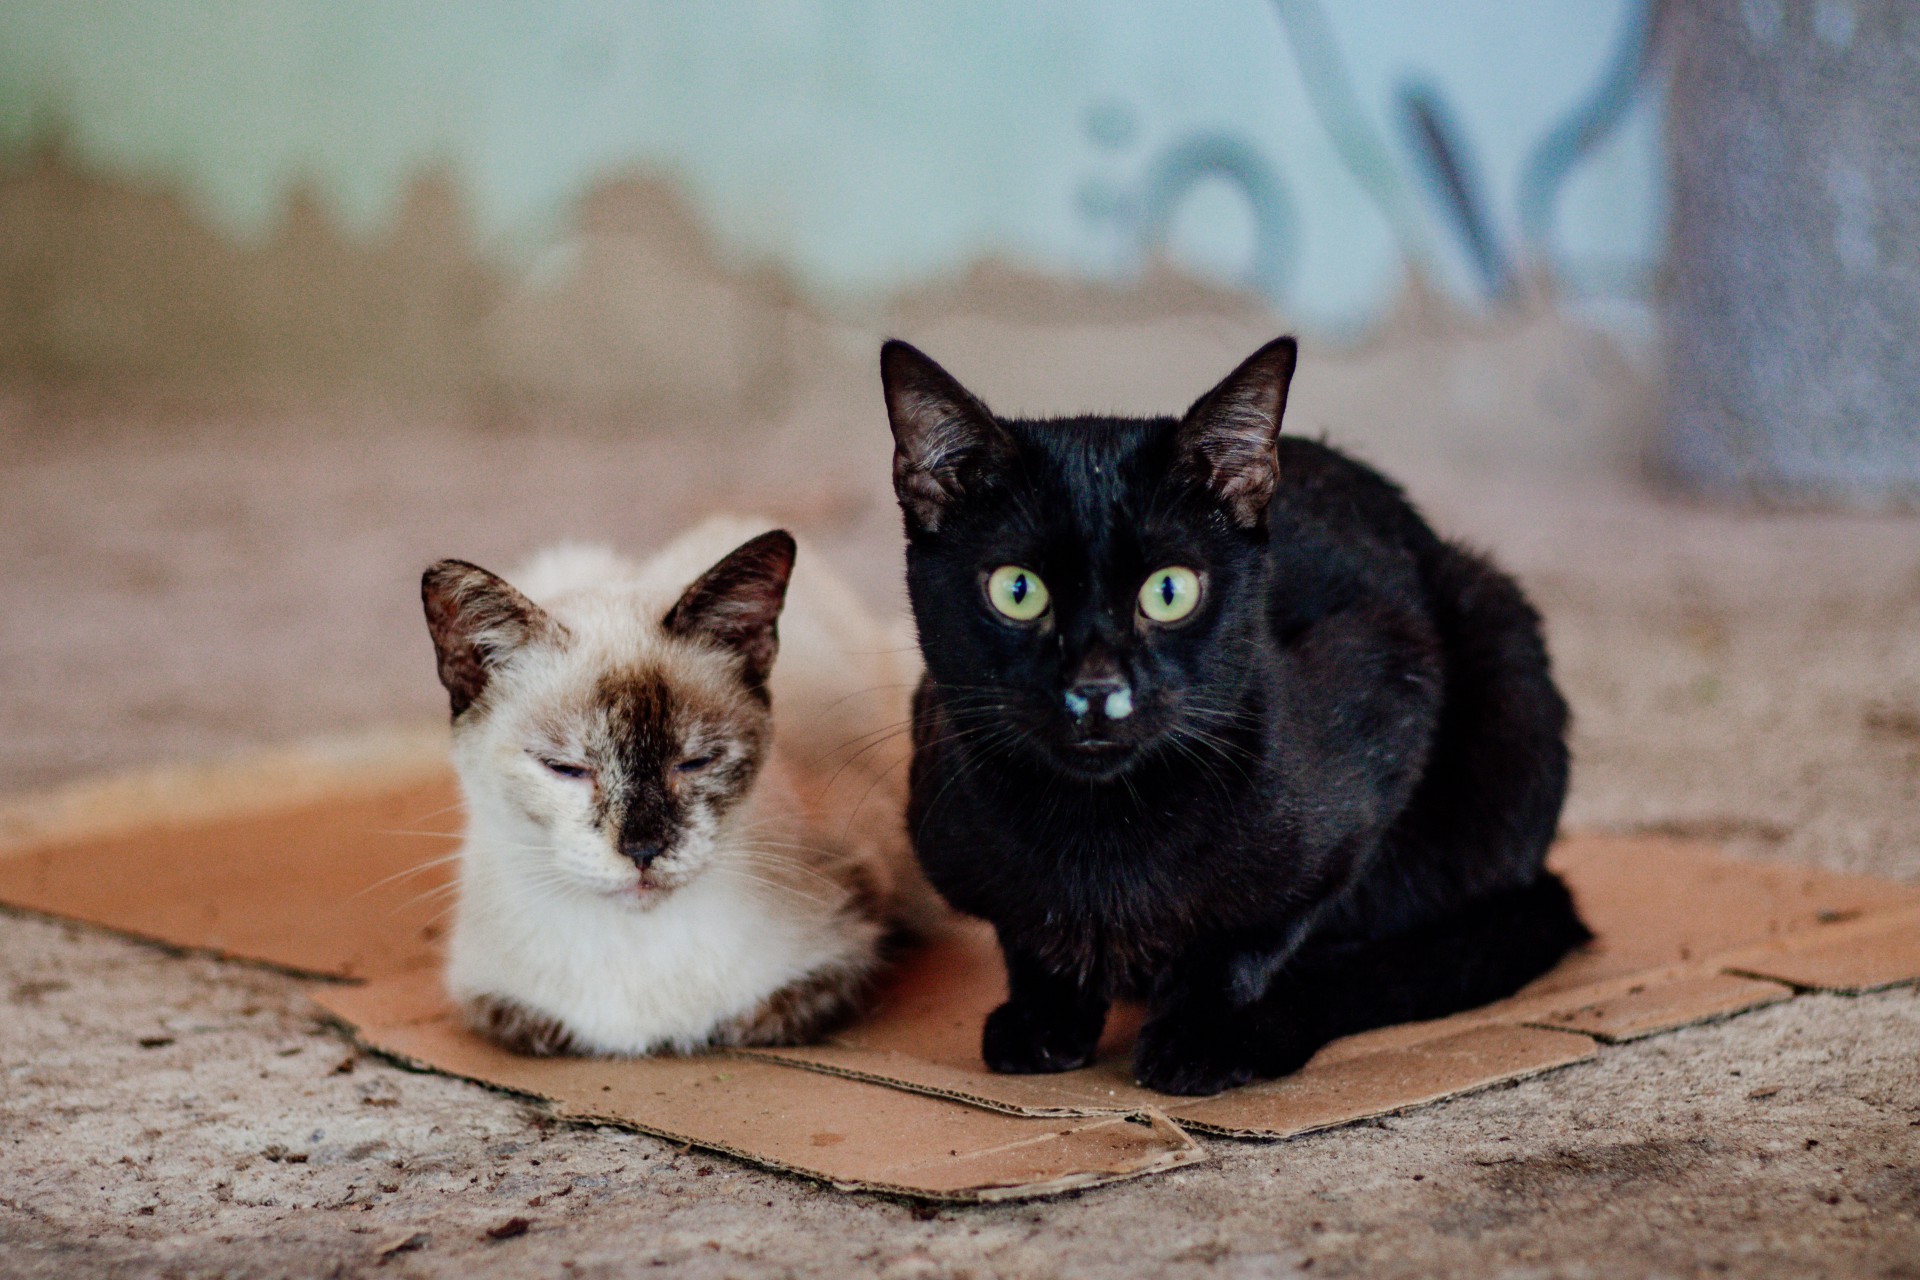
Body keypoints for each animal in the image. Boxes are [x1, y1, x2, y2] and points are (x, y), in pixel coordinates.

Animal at [422, 514, 929, 1059]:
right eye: (566, 769)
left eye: (695, 762)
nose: (643, 850)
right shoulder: (497, 1003)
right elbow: (536, 1028)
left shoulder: (854, 919)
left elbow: (765, 1015)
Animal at [879, 335, 1589, 1097]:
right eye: (1018, 591)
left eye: (1168, 592)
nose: (1096, 689)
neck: (1100, 835)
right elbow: (1024, 935)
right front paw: (1045, 1017)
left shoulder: (1389, 694)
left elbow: (1257, 933)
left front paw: (1204, 1034)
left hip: (1496, 639)